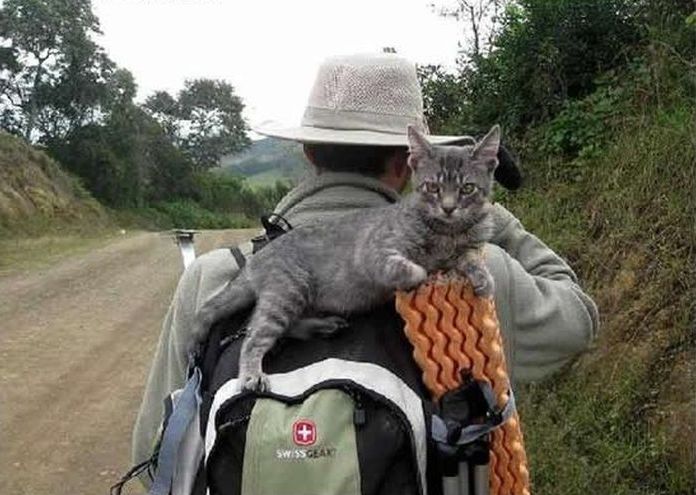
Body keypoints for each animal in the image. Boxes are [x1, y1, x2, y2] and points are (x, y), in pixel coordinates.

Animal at [200, 124, 500, 392]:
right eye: (433, 187)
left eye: (467, 189)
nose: (448, 208)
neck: (447, 231)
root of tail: (257, 260)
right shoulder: (374, 251)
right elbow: (414, 268)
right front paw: (422, 273)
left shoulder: (467, 243)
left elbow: (469, 255)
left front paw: (483, 277)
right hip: (287, 291)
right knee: (255, 334)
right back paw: (252, 374)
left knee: (286, 327)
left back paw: (321, 325)